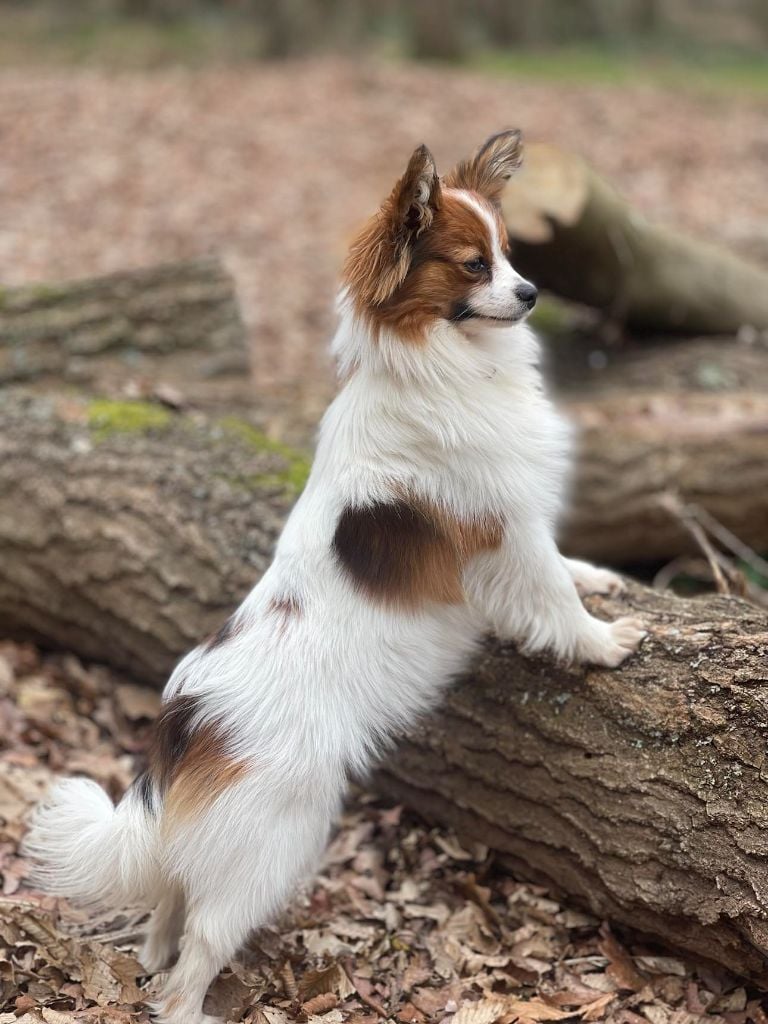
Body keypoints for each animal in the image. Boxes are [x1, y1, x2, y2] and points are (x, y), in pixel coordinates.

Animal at [24, 132, 647, 1019]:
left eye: (510, 255)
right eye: (473, 266)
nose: (529, 294)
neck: (440, 362)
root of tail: (186, 716)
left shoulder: (522, 522)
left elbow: (566, 569)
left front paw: (601, 578)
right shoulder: (506, 529)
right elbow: (549, 594)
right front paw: (602, 643)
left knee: (170, 904)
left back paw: (153, 948)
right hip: (275, 841)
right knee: (194, 955)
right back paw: (190, 1002)